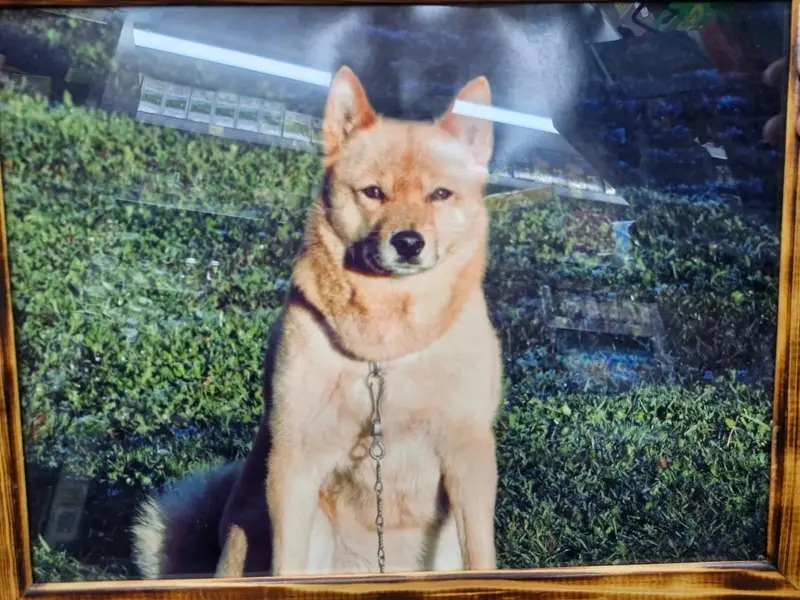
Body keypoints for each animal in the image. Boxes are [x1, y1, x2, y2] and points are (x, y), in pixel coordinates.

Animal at [132, 65, 502, 578]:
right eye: (374, 192)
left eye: (440, 194)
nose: (409, 243)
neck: (385, 347)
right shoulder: (295, 462)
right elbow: (286, 566)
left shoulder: (468, 457)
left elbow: (482, 555)